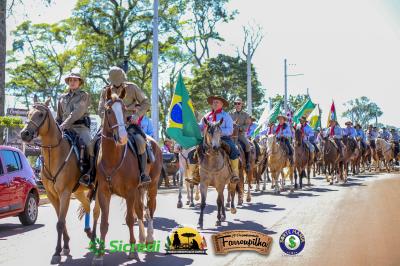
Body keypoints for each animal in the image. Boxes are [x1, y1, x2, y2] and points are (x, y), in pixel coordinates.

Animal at [19, 100, 100, 264]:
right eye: (28, 113)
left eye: (40, 114)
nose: (25, 134)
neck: (54, 154)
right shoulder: (52, 195)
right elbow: (60, 221)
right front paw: (66, 246)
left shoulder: (65, 193)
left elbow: (60, 223)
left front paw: (56, 252)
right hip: (80, 192)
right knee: (87, 206)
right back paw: (90, 234)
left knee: (97, 211)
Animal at [92, 87, 162, 264]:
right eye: (108, 110)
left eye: (124, 110)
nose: (123, 137)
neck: (113, 158)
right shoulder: (103, 192)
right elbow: (104, 223)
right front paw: (99, 254)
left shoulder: (130, 192)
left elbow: (130, 219)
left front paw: (132, 251)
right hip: (139, 190)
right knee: (140, 211)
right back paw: (142, 238)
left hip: (151, 186)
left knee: (150, 210)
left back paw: (149, 238)